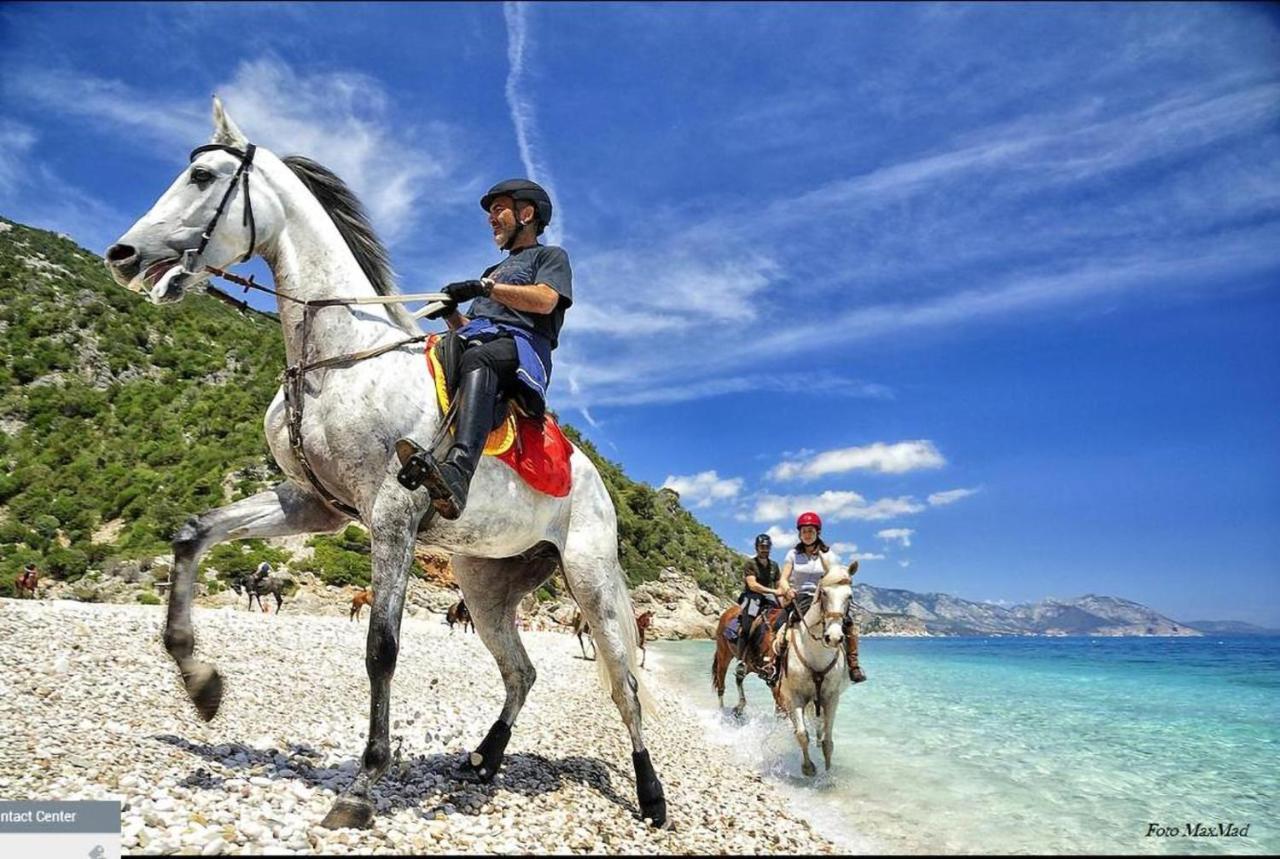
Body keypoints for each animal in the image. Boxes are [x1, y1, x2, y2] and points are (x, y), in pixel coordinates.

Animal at [773, 563, 855, 778]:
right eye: (824, 593)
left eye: (849, 596)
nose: (833, 638)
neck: (817, 653)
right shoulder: (796, 696)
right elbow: (802, 734)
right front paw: (808, 768)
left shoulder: (831, 697)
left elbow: (827, 740)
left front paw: (827, 773)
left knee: (820, 727)